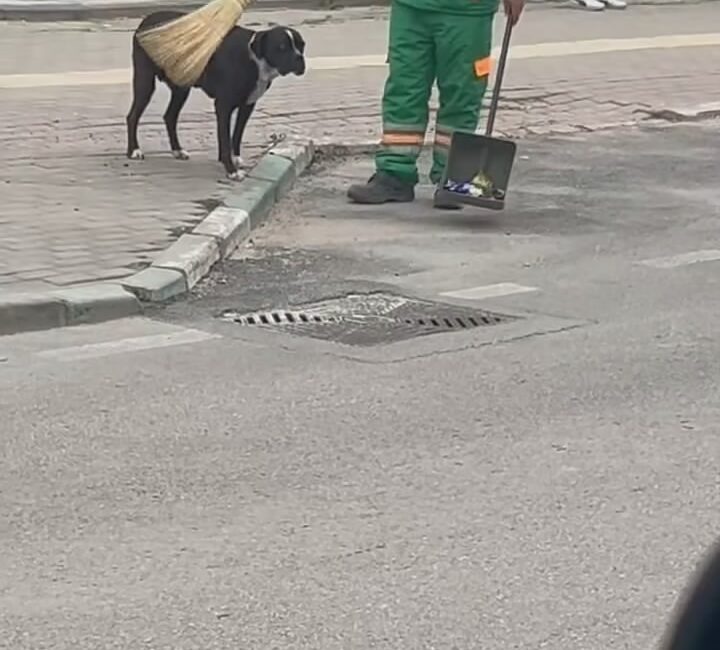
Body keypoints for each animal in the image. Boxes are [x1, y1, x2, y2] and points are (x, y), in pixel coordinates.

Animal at [126, 12, 306, 180]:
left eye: (302, 46)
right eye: (281, 47)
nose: (299, 58)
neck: (255, 59)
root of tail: (147, 19)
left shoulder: (247, 105)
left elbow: (237, 135)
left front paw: (235, 159)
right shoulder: (224, 106)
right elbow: (225, 139)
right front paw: (231, 170)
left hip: (181, 88)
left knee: (170, 117)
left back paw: (177, 150)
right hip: (145, 82)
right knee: (133, 116)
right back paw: (134, 150)